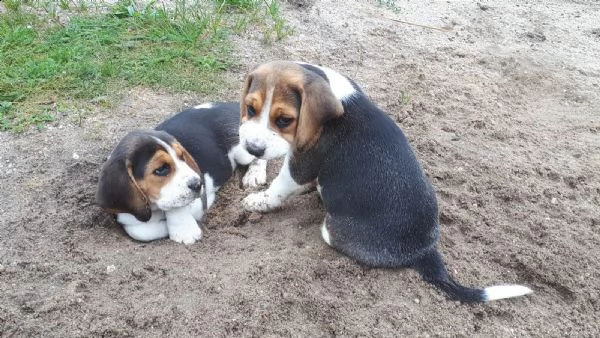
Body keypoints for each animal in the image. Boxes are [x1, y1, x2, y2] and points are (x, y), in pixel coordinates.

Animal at [97, 101, 266, 244]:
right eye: (161, 169)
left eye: (182, 157)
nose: (199, 184)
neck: (155, 207)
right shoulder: (128, 217)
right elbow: (141, 232)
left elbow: (177, 207)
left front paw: (185, 231)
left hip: (242, 150)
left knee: (260, 155)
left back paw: (254, 175)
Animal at [237, 61, 532, 304]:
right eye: (250, 109)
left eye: (284, 120)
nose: (252, 148)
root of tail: (425, 251)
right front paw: (256, 173)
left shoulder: (301, 162)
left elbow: (278, 187)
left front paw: (258, 201)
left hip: (332, 228)